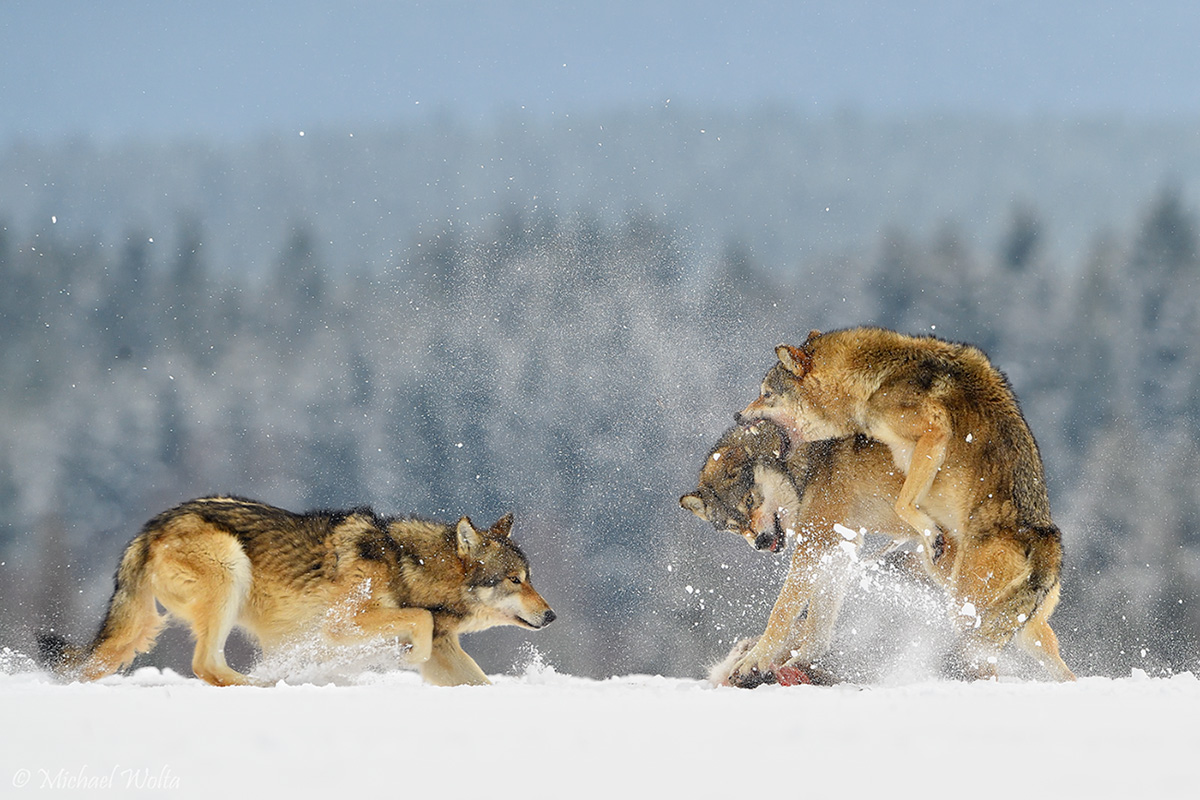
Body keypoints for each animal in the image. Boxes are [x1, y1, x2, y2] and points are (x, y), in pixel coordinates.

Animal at [36, 496, 552, 686]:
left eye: (530, 577)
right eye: (515, 579)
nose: (551, 616)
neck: (409, 567)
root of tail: (148, 530)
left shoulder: (447, 651)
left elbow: (479, 684)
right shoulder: (340, 626)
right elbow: (419, 623)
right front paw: (406, 653)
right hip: (231, 569)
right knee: (206, 665)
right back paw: (266, 686)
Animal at [734, 326, 1075, 681]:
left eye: (766, 394)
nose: (737, 415)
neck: (874, 379)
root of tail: (1048, 540)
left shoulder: (933, 432)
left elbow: (902, 503)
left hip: (967, 609)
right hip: (1013, 625)